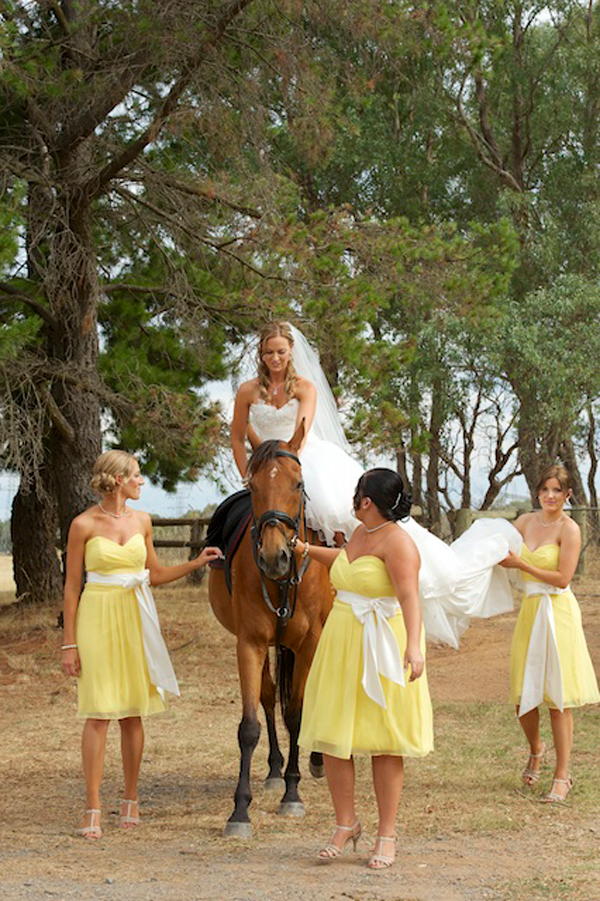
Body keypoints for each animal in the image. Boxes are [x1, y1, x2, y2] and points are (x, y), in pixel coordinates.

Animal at [209, 422, 332, 836]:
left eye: (298, 484)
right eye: (253, 486)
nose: (274, 557)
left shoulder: (310, 642)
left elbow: (296, 712)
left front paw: (293, 794)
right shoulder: (250, 642)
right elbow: (250, 725)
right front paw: (239, 810)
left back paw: (315, 761)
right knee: (267, 695)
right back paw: (276, 770)